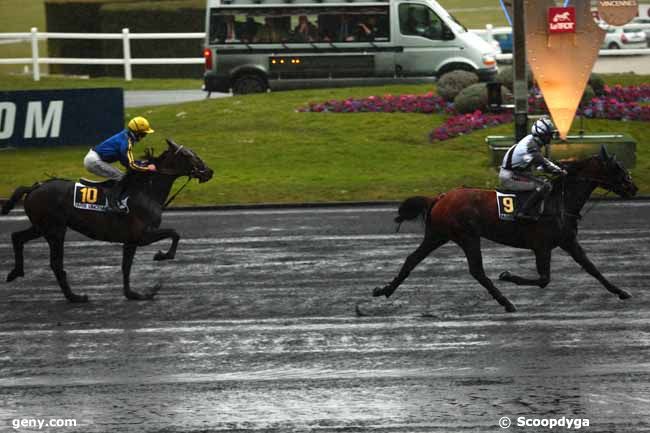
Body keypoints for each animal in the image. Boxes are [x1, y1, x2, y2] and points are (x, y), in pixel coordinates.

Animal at [2, 140, 213, 302]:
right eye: (187, 154)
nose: (208, 171)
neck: (145, 191)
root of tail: (34, 187)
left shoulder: (131, 240)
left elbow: (126, 267)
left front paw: (133, 294)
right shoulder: (141, 236)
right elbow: (174, 233)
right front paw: (161, 256)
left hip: (41, 227)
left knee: (16, 237)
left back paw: (15, 272)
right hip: (55, 230)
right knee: (56, 264)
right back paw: (75, 297)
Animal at [372, 147, 636, 312]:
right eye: (617, 167)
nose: (633, 188)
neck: (559, 201)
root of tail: (441, 197)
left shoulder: (568, 241)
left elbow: (593, 269)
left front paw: (621, 291)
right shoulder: (542, 246)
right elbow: (544, 279)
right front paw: (508, 275)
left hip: (438, 235)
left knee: (412, 259)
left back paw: (384, 290)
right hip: (467, 236)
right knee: (477, 271)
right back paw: (506, 302)